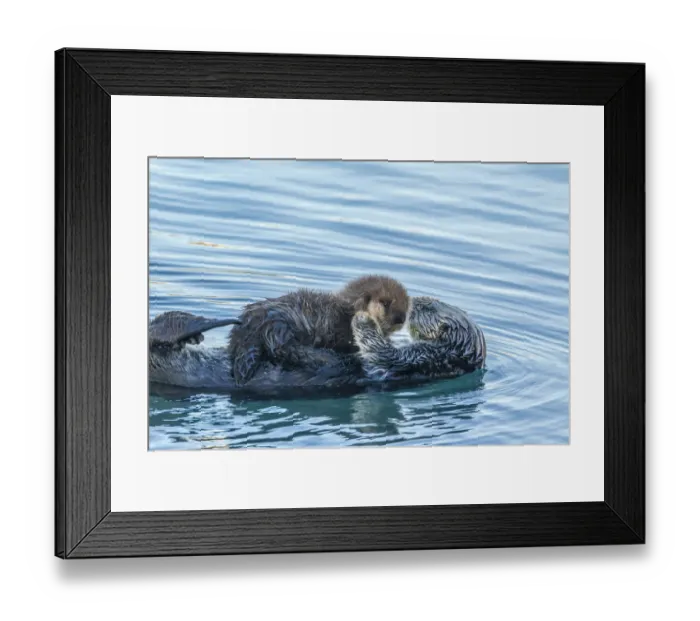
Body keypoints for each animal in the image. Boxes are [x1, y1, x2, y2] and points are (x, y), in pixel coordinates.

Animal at [148, 297, 486, 394]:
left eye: (429, 308)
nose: (418, 300)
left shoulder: (418, 359)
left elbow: (381, 352)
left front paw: (364, 317)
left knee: (161, 333)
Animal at [226, 275, 409, 386]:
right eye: (385, 303)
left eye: (406, 304)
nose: (400, 318)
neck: (347, 312)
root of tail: (246, 327)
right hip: (279, 325)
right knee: (283, 349)